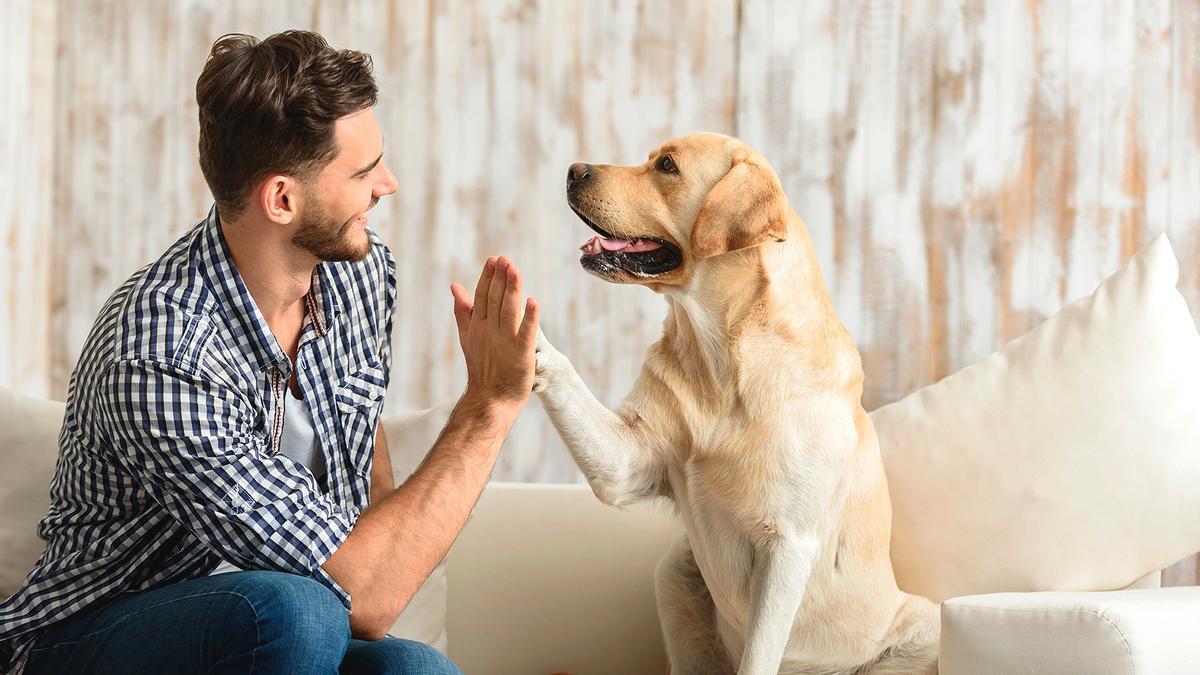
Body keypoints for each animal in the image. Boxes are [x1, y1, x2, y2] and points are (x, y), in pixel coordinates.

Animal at [532, 133, 936, 667]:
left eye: (667, 166)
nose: (574, 170)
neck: (723, 360)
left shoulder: (788, 545)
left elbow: (760, 656)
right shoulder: (627, 461)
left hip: (924, 624)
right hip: (676, 573)